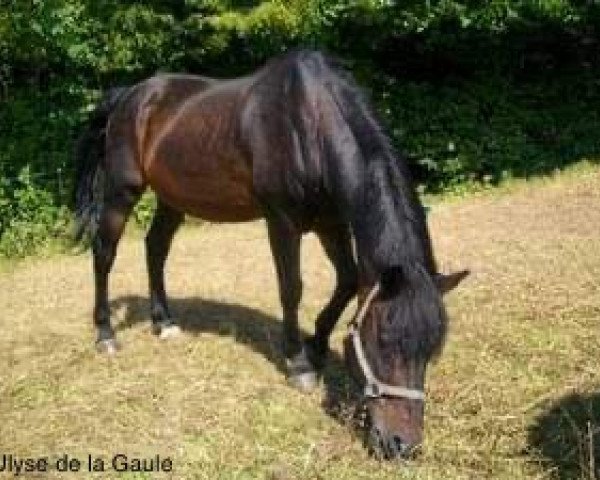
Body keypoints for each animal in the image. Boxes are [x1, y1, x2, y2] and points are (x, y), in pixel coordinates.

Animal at [74, 50, 468, 460]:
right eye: (384, 342)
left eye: (432, 350)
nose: (401, 446)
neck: (308, 122)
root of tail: (128, 96)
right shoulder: (282, 221)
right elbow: (291, 287)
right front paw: (299, 363)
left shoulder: (331, 222)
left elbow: (346, 281)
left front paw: (317, 345)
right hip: (121, 191)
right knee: (104, 254)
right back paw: (106, 335)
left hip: (171, 198)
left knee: (156, 249)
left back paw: (163, 323)